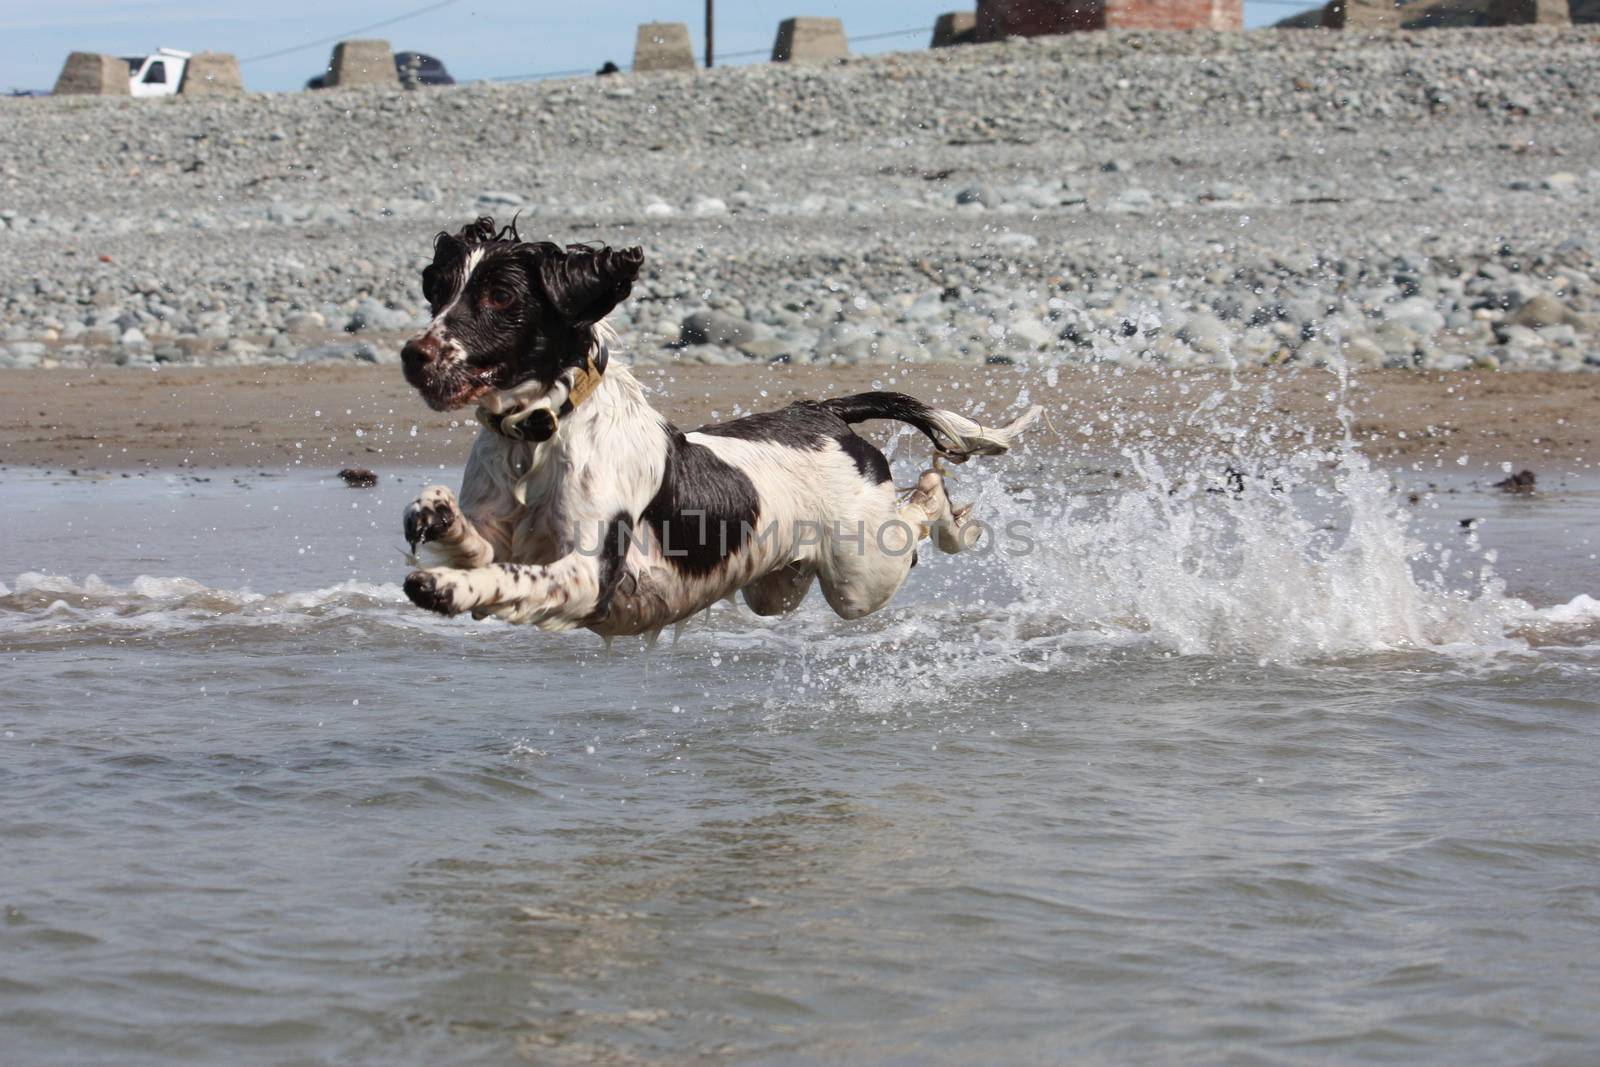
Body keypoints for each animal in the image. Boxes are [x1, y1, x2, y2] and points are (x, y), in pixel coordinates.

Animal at [400, 215, 1043, 633]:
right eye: (438, 289)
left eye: (502, 296)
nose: (413, 355)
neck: (539, 435)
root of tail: (822, 410)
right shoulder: (505, 533)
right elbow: (481, 547)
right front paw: (434, 513)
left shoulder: (589, 572)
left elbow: (508, 579)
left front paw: (447, 587)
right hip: (777, 585)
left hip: (860, 575)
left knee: (917, 514)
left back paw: (948, 513)